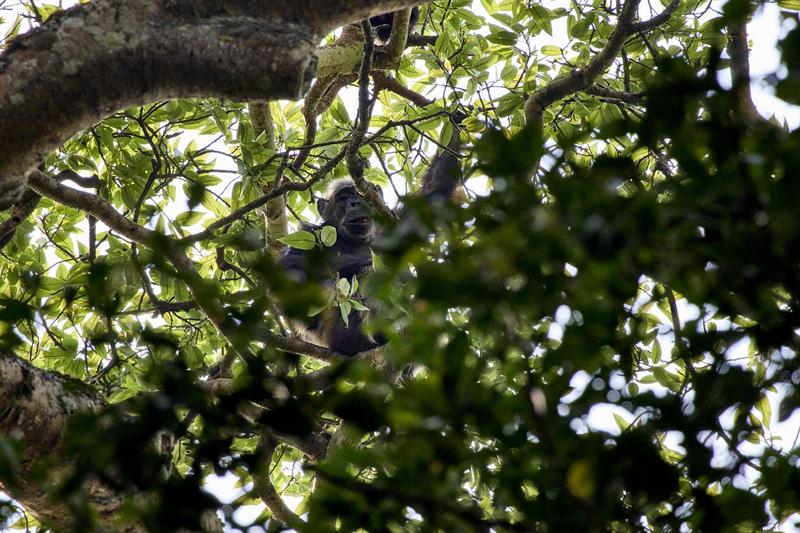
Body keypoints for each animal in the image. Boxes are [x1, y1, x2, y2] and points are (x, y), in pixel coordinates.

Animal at [280, 119, 462, 354]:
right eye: (343, 197)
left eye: (360, 194)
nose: (355, 203)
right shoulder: (310, 236)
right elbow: (291, 276)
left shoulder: (397, 224)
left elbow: (434, 194)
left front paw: (456, 121)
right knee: (368, 276)